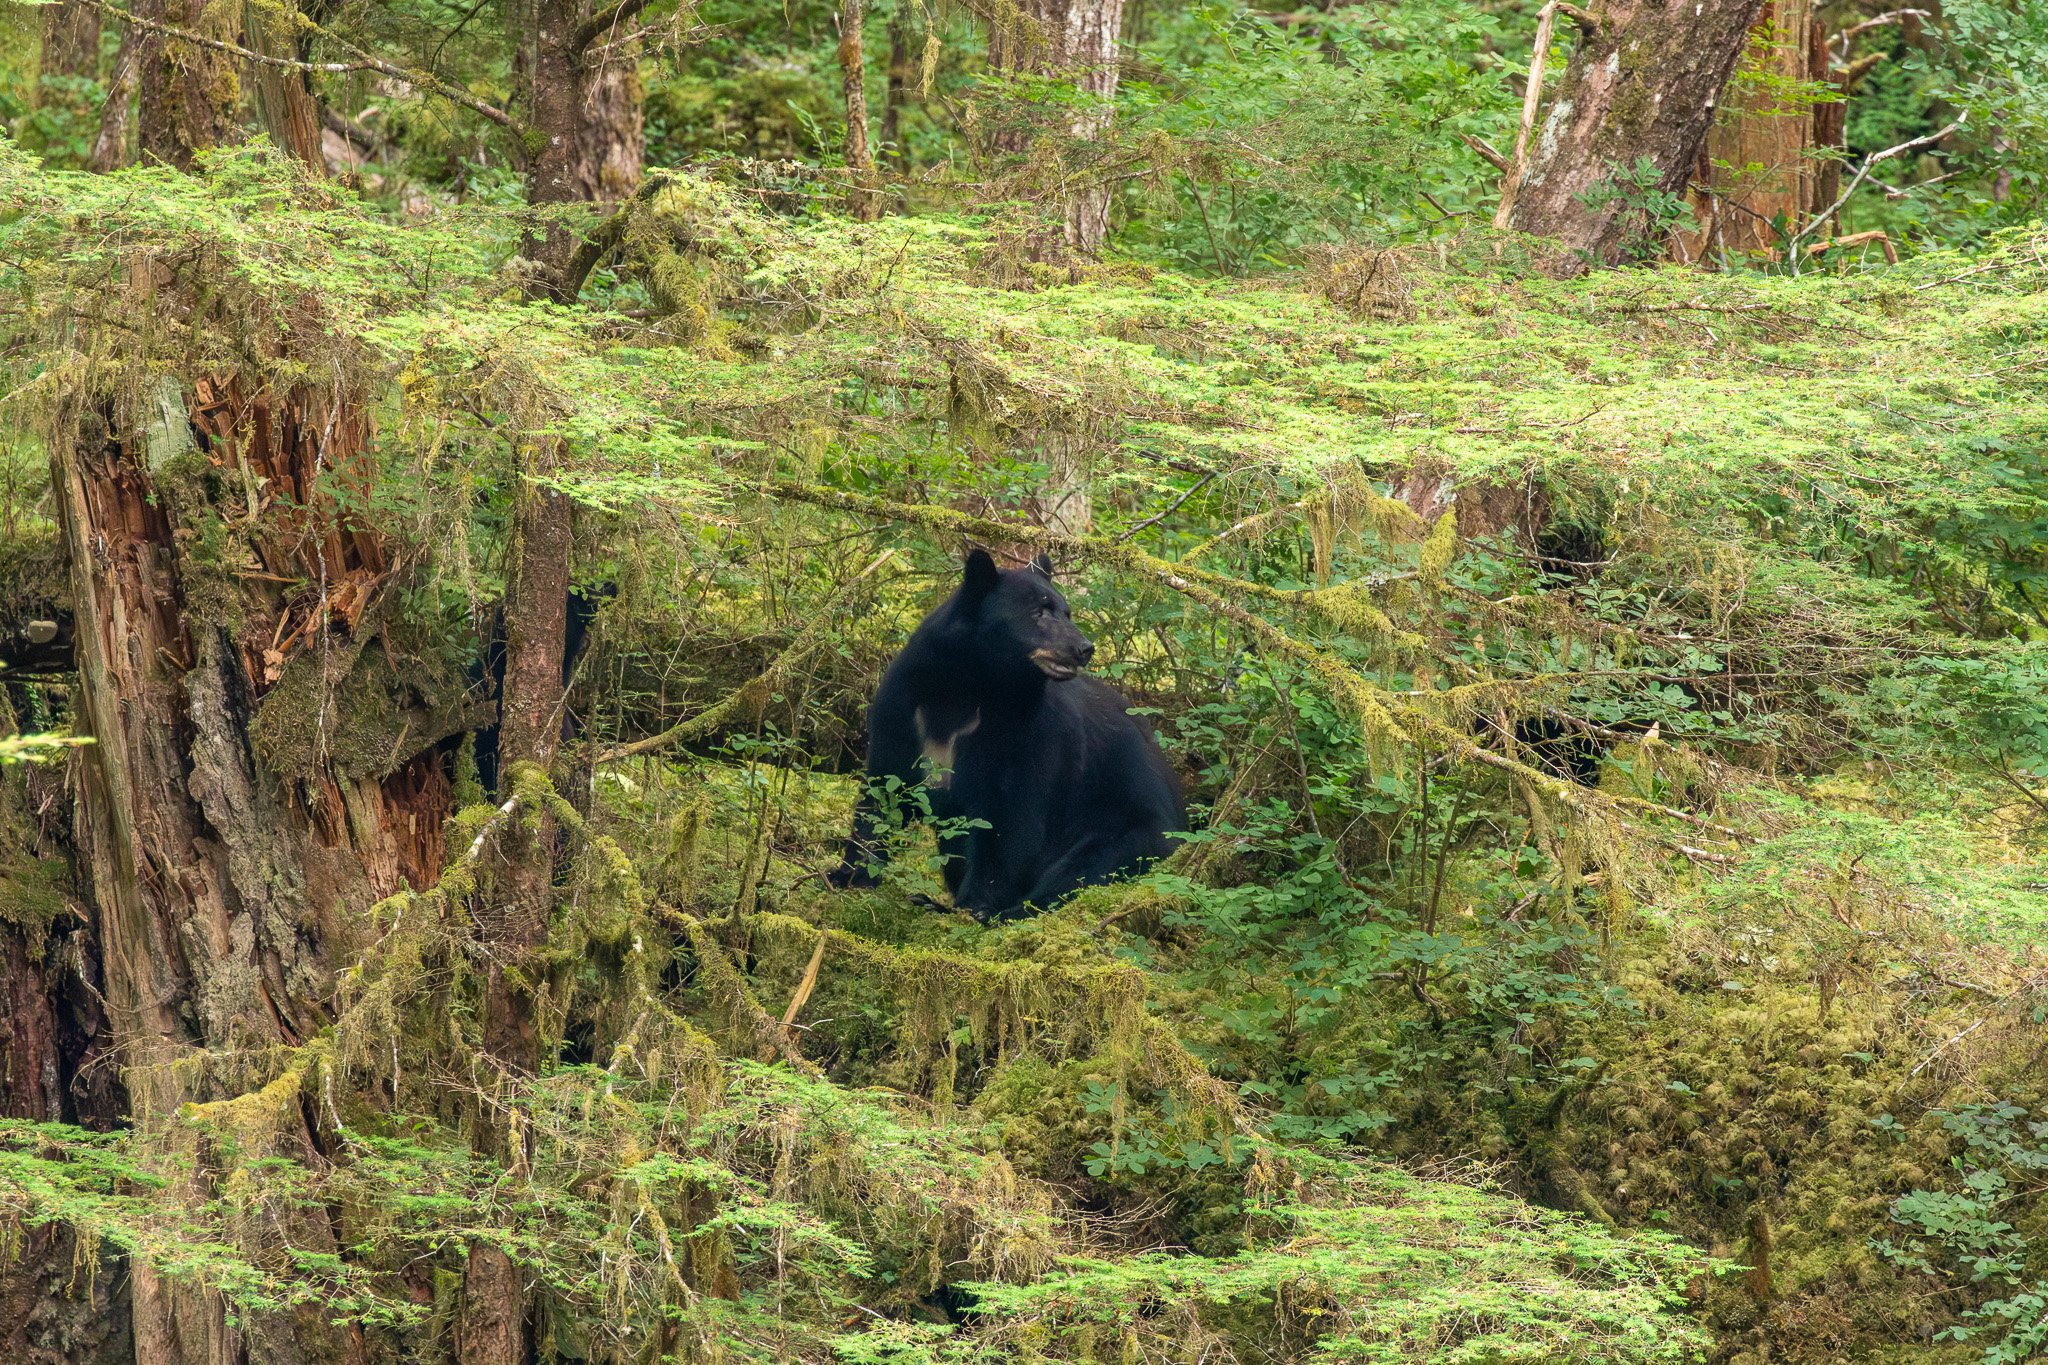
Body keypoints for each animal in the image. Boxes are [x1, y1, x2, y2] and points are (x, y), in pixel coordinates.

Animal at [831, 548, 1186, 921]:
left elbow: (1011, 823)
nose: (1084, 647)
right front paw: (849, 876)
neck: (970, 684)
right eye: (1038, 612)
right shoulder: (902, 708)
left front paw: (973, 908)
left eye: (1066, 612)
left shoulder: (1028, 733)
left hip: (1130, 830)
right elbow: (883, 793)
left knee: (1083, 872)